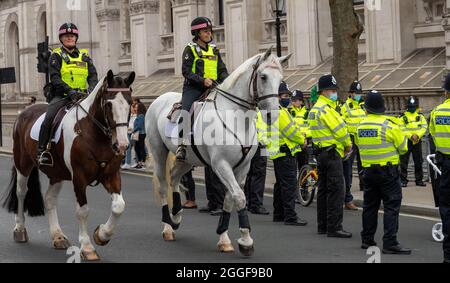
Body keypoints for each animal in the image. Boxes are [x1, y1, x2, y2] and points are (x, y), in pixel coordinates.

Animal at [2, 70, 135, 262]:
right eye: (109, 104)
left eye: (130, 102)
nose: (122, 145)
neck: (93, 134)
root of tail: (24, 112)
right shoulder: (79, 177)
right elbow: (83, 211)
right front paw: (87, 247)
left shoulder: (110, 175)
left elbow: (119, 206)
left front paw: (102, 235)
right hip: (23, 165)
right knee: (21, 192)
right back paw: (20, 229)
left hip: (57, 173)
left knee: (49, 199)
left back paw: (58, 236)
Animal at [145, 47, 292, 256]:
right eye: (263, 77)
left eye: (280, 79)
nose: (273, 115)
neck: (236, 118)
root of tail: (159, 99)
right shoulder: (221, 165)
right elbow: (239, 197)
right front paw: (246, 241)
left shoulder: (242, 167)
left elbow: (230, 199)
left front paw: (225, 239)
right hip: (159, 152)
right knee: (164, 185)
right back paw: (167, 227)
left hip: (188, 160)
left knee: (174, 178)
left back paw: (177, 217)